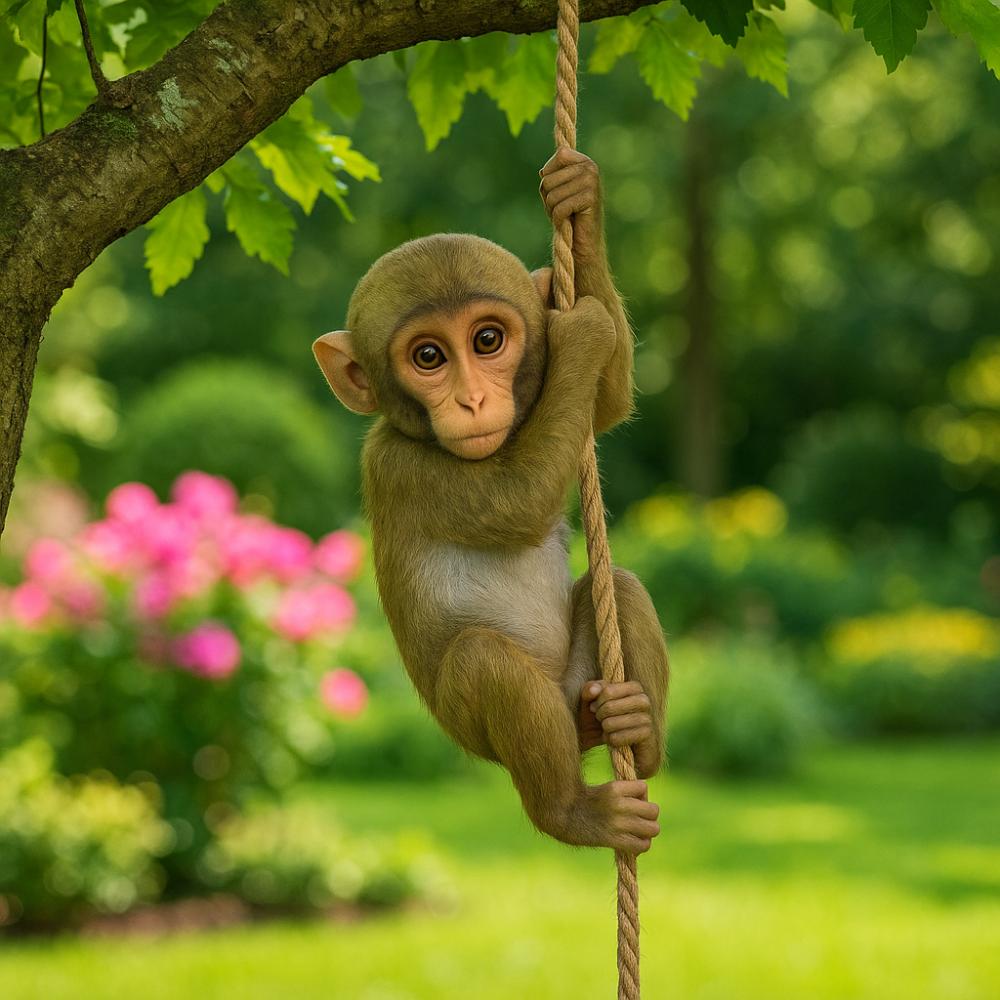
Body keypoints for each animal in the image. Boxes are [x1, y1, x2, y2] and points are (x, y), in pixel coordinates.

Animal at [313, 149, 668, 854]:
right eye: (428, 356)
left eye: (486, 341)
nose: (473, 400)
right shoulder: (400, 465)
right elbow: (517, 502)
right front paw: (582, 332)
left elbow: (606, 406)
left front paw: (578, 197)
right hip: (483, 726)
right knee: (485, 662)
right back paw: (574, 811)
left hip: (579, 683)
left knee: (620, 585)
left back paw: (635, 731)